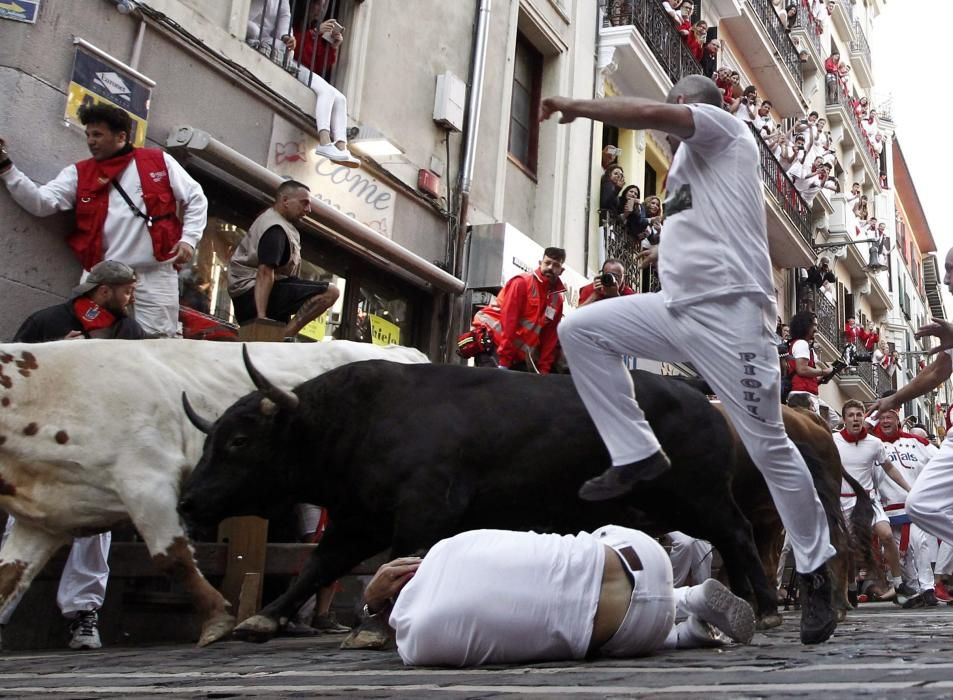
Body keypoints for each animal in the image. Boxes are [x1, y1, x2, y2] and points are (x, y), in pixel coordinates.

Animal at [178, 356, 872, 640]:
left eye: (238, 439)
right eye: (210, 436)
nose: (186, 504)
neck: (359, 419)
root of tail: (705, 404)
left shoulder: (422, 510)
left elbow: (401, 563)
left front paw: (372, 628)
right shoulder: (356, 519)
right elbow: (319, 565)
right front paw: (263, 618)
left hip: (703, 500)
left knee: (741, 538)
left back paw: (771, 606)